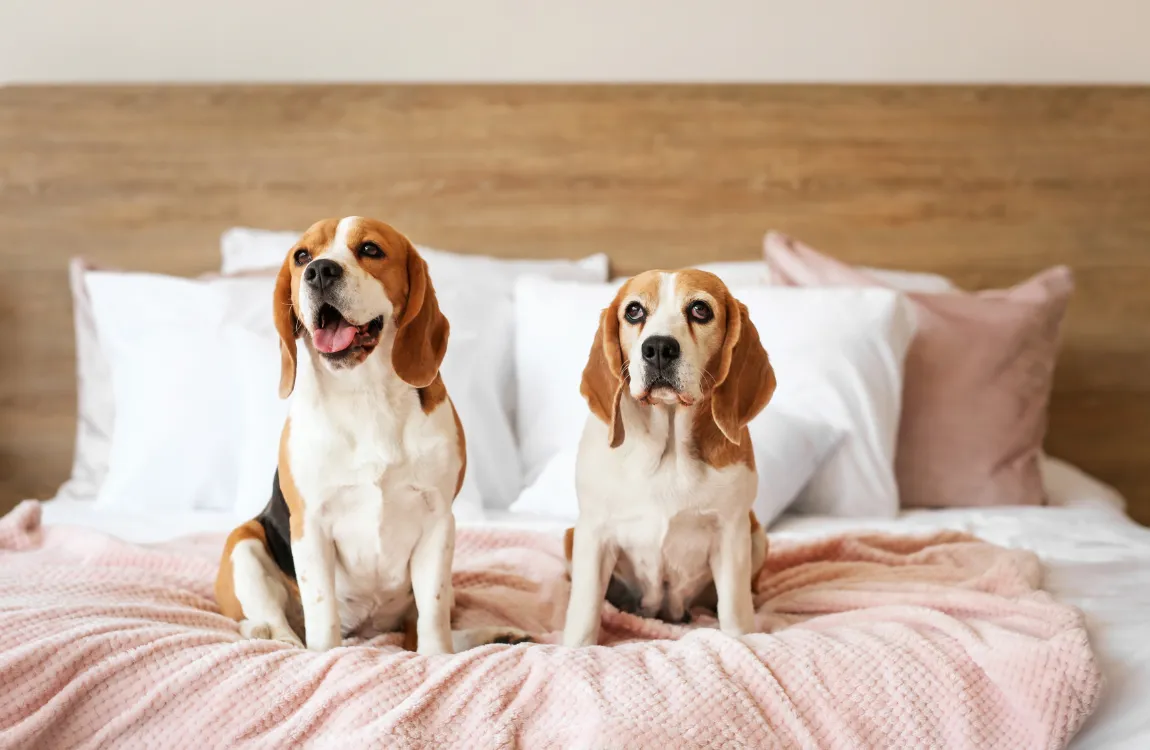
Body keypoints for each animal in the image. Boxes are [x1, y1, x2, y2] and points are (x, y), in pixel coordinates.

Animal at [216, 215, 529, 648]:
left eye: (370, 249)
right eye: (302, 256)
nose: (320, 271)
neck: (365, 394)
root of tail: (368, 630)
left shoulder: (438, 523)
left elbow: (433, 622)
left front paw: (437, 656)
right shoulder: (310, 526)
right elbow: (322, 612)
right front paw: (325, 654)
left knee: (427, 630)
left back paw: (499, 636)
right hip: (243, 542)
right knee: (277, 623)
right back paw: (271, 635)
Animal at [563, 271, 777, 648]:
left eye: (700, 309)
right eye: (634, 310)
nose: (659, 348)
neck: (668, 450)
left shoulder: (731, 534)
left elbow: (735, 611)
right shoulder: (593, 533)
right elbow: (585, 610)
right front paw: (576, 648)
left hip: (757, 535)